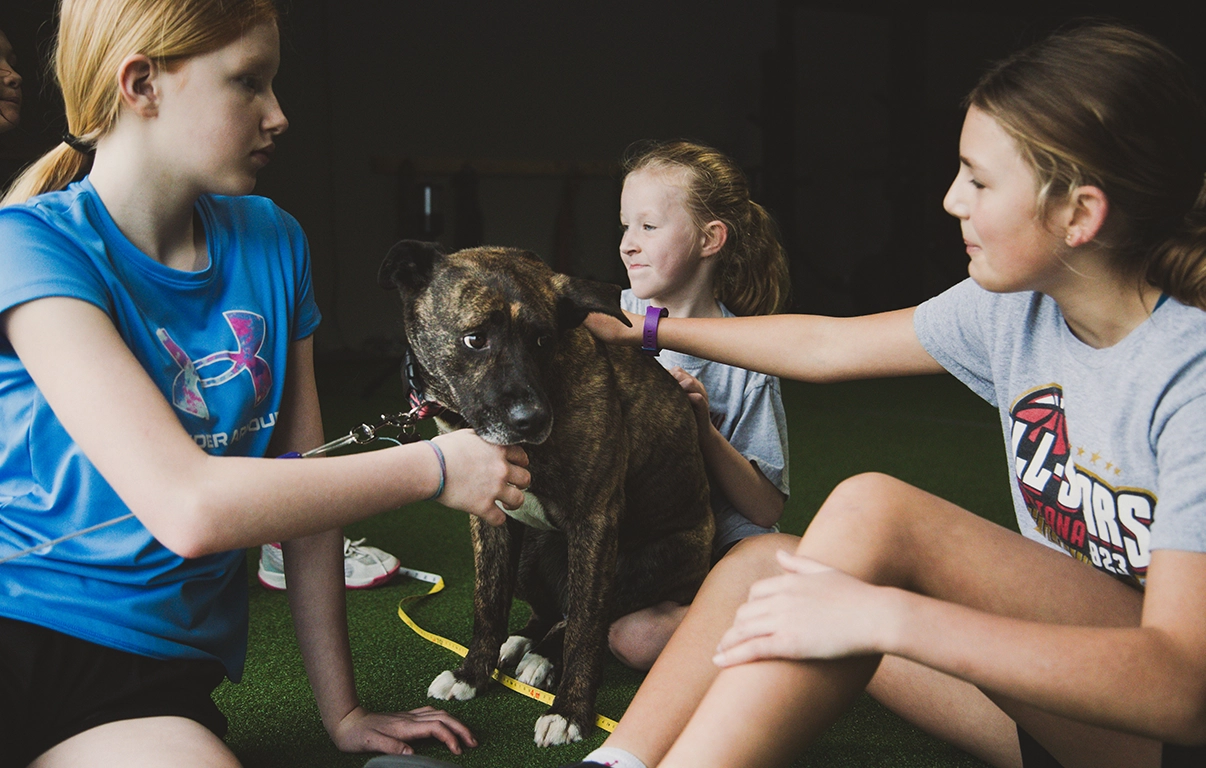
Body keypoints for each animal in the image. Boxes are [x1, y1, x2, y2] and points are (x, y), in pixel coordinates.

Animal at [381, 239, 709, 742]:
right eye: (474, 338)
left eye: (542, 340)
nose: (530, 420)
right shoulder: (490, 518)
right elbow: (487, 604)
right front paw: (472, 674)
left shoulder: (595, 523)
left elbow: (586, 627)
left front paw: (571, 711)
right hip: (531, 553)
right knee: (549, 610)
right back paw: (522, 643)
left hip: (648, 562)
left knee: (579, 614)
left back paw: (542, 657)